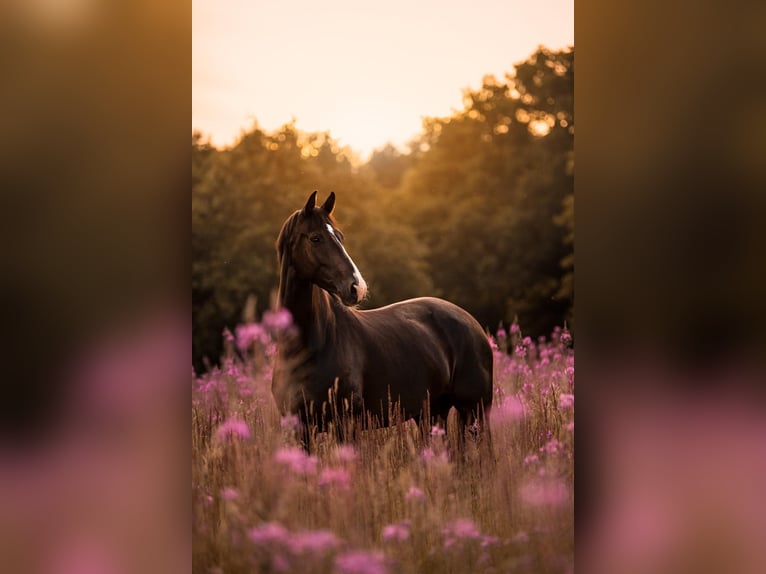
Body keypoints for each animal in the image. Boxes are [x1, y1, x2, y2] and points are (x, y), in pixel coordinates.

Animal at [272, 191, 496, 452]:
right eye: (316, 238)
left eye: (340, 236)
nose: (356, 288)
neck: (309, 347)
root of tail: (472, 324)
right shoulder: (300, 428)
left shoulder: (346, 424)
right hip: (431, 414)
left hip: (475, 411)